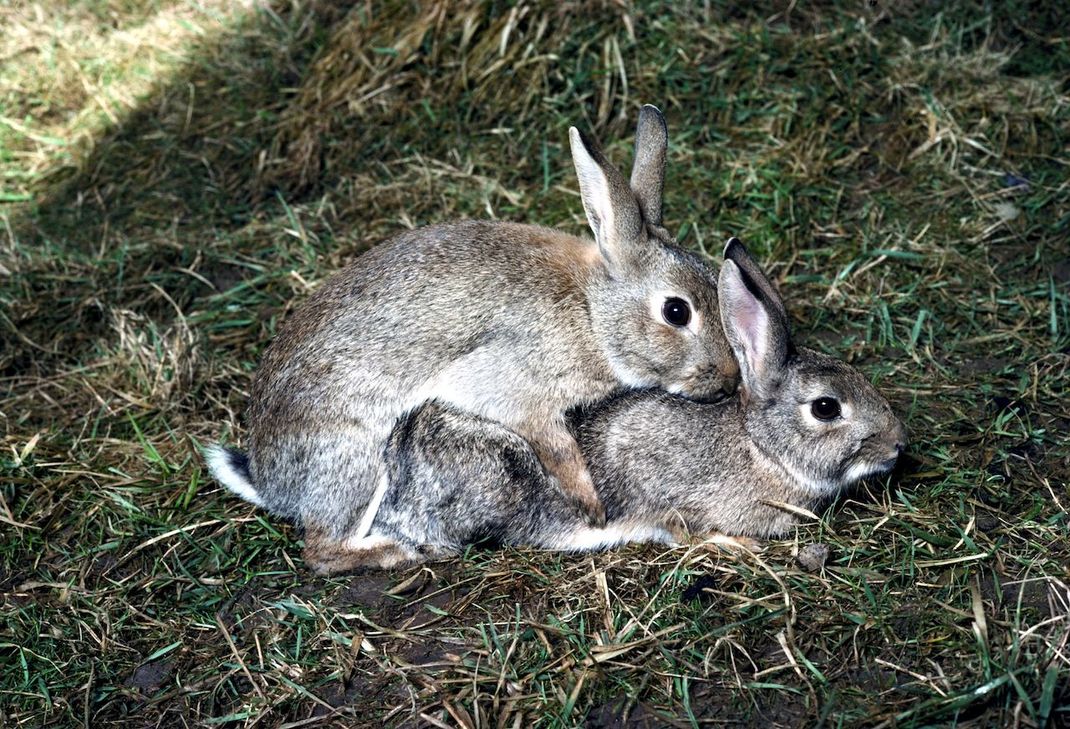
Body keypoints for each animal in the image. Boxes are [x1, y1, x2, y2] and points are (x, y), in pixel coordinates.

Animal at [208, 103, 744, 573]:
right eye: (676, 311)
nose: (730, 380)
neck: (592, 312)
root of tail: (270, 483)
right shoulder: (520, 395)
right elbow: (559, 450)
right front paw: (592, 503)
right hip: (355, 461)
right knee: (322, 550)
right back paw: (393, 552)